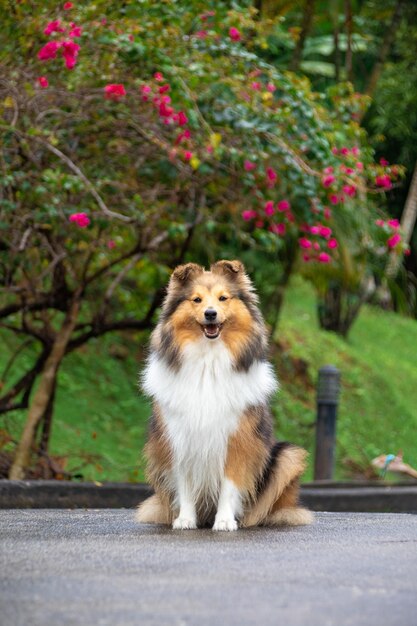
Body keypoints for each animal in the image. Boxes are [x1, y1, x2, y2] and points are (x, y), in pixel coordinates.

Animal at [136, 258, 312, 528]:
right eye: (197, 299)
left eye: (223, 298)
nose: (210, 314)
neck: (208, 361)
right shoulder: (179, 438)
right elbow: (185, 483)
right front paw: (185, 519)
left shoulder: (238, 439)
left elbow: (230, 484)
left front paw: (225, 521)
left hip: (288, 457)